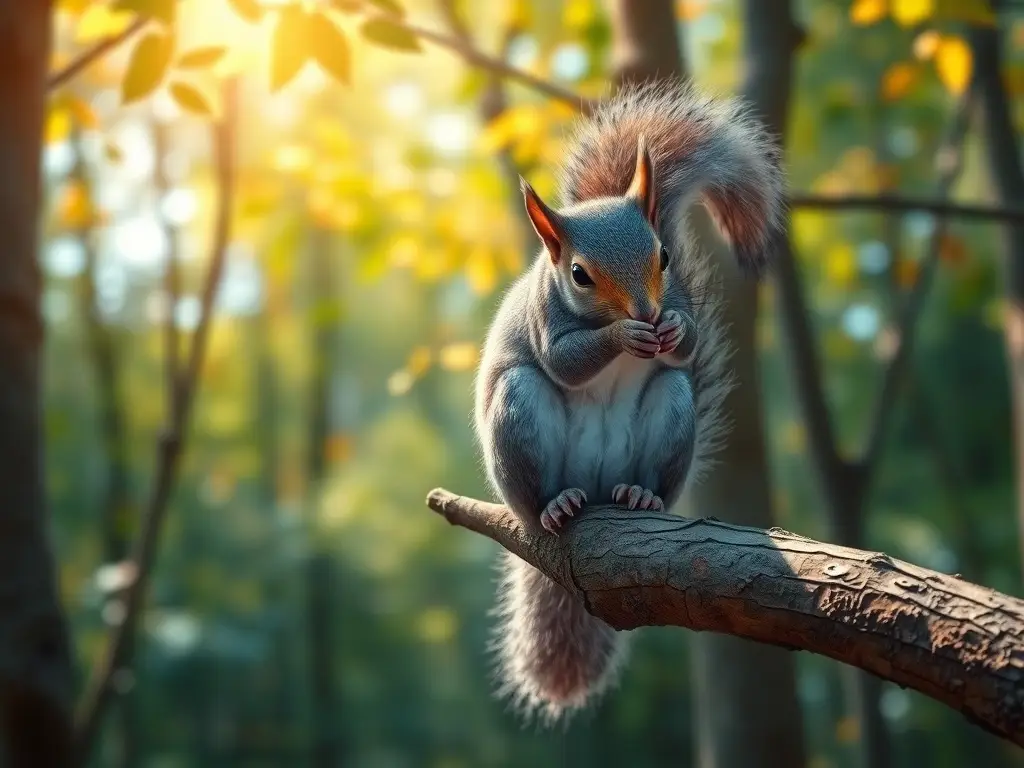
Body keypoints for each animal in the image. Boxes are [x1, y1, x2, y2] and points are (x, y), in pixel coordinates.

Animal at [472, 81, 785, 724]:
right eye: (578, 274)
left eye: (665, 256)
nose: (646, 312)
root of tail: (595, 491)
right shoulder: (546, 326)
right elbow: (567, 360)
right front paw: (623, 336)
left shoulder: (678, 301)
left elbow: (687, 338)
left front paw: (670, 332)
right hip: (519, 419)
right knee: (536, 496)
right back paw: (555, 505)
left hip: (672, 408)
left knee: (654, 467)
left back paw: (639, 496)